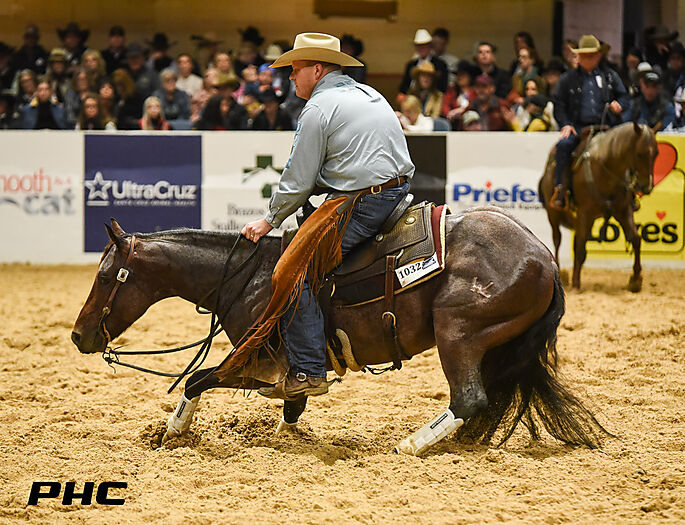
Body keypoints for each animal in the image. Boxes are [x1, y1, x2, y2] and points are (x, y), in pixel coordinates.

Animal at [72, 210, 608, 456]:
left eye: (106, 276)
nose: (78, 335)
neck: (252, 276)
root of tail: (544, 259)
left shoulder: (253, 357)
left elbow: (197, 379)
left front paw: (172, 433)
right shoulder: (282, 367)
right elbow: (293, 404)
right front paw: (290, 436)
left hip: (457, 333)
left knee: (470, 398)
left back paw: (412, 445)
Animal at [539, 121, 658, 292]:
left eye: (656, 154)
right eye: (639, 154)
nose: (646, 187)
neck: (605, 168)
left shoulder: (623, 210)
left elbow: (635, 239)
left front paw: (635, 279)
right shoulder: (584, 212)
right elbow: (580, 246)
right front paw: (576, 283)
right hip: (553, 214)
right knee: (557, 239)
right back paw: (560, 272)